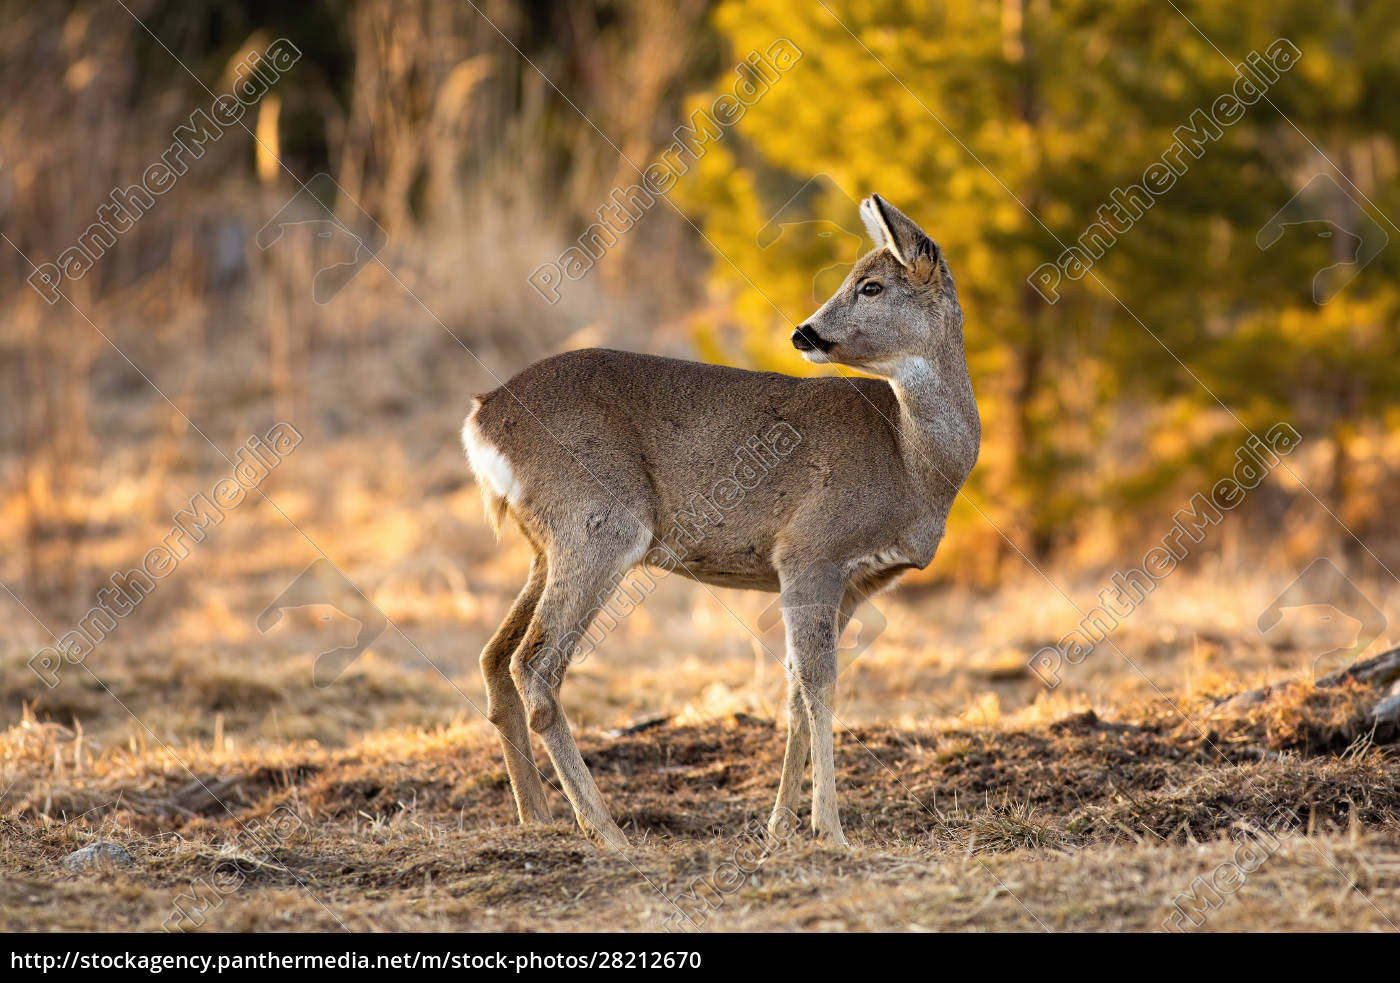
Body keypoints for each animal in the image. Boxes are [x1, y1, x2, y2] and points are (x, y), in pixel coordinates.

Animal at [464, 196, 980, 851]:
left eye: (871, 285)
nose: (803, 332)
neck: (913, 461)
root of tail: (483, 417)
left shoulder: (855, 583)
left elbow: (794, 690)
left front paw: (781, 825)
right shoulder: (810, 552)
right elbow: (819, 685)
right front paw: (830, 829)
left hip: (547, 544)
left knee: (494, 656)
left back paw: (537, 816)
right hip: (601, 523)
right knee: (535, 663)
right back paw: (604, 828)